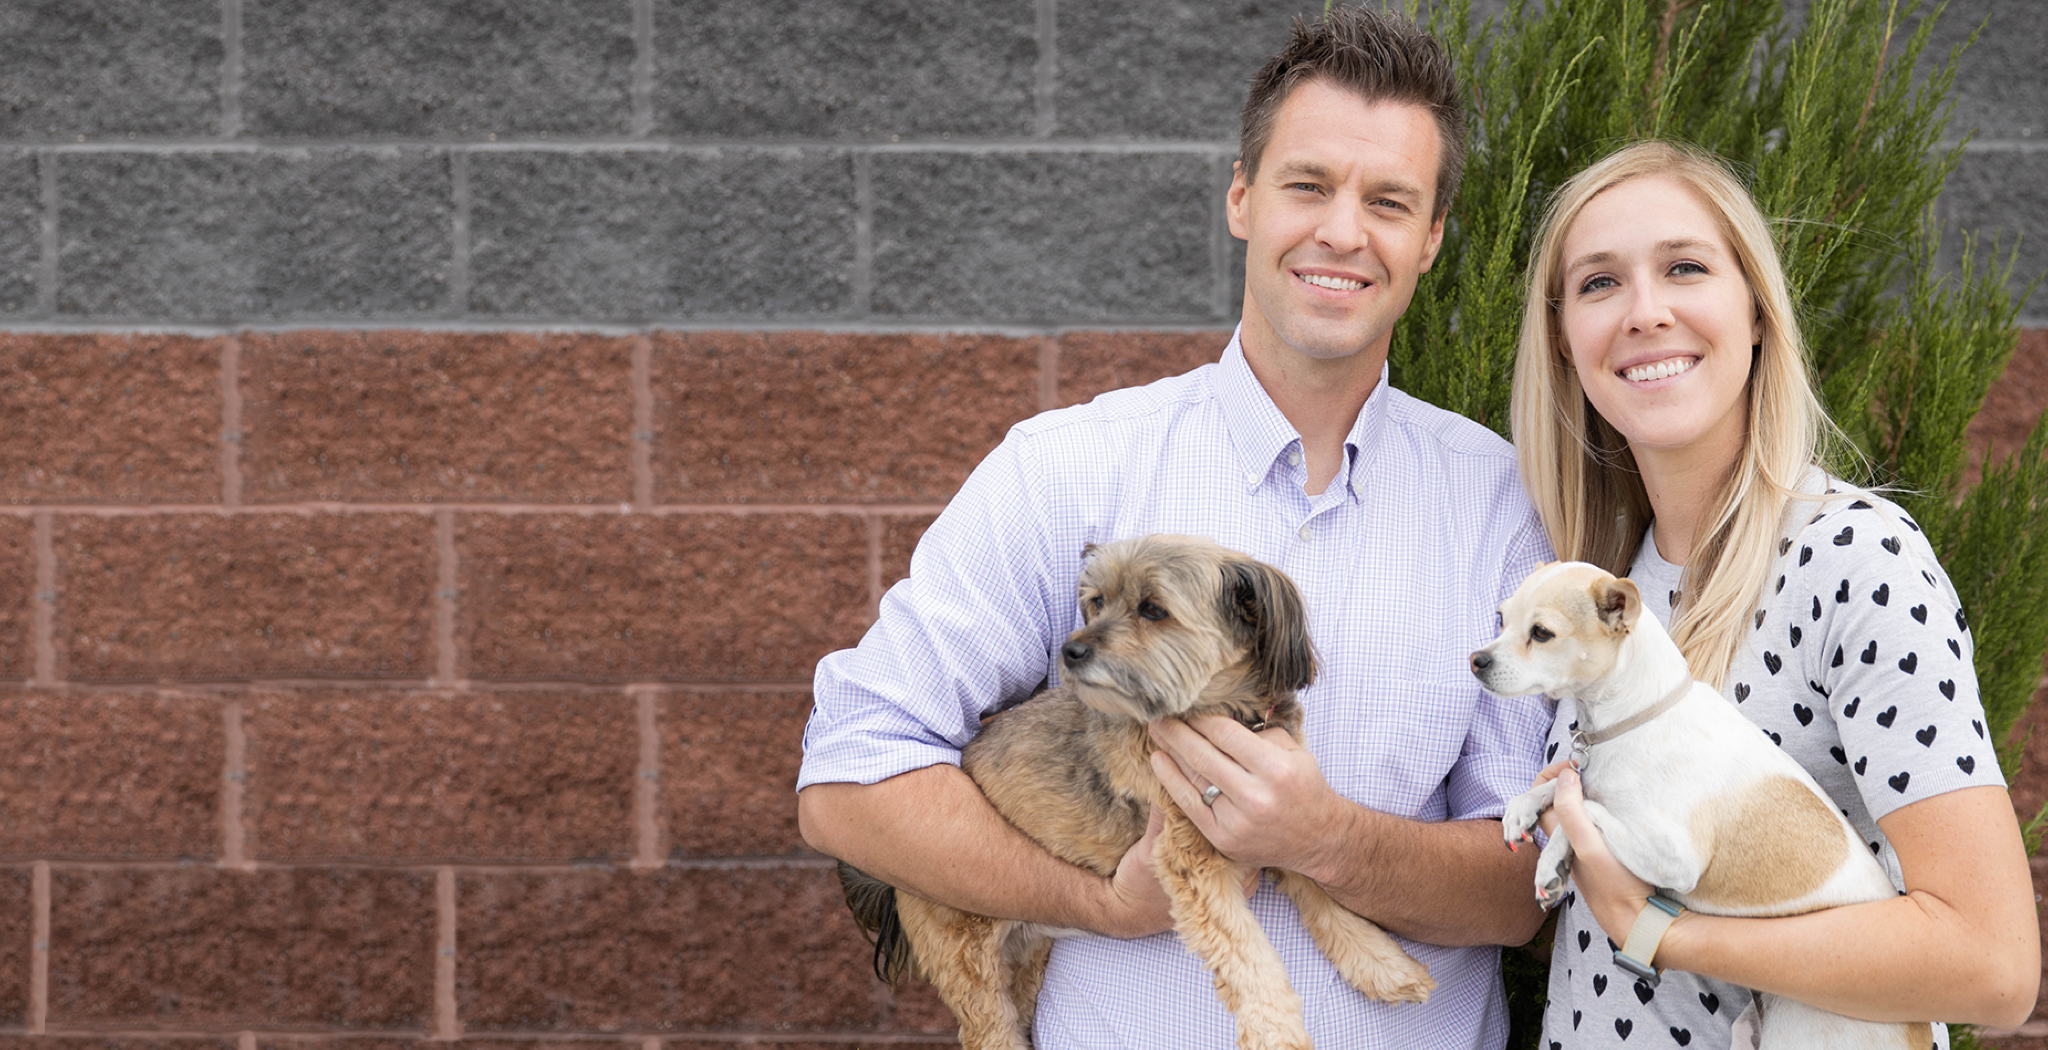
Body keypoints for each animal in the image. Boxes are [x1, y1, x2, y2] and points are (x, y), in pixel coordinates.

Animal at [839, 536, 1433, 1047]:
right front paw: (1277, 1034)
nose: (1071, 650)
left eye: (1152, 609)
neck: (1221, 713)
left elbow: (1327, 898)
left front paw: (1383, 964)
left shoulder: (1284, 823)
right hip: (968, 958)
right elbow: (1249, 958)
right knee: (989, 1032)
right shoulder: (1193, 861)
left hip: (1025, 961)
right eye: (1097, 602)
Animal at [1474, 560, 1916, 1047]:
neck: (1637, 717)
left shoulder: (1673, 857)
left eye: (1542, 633)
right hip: (1746, 1030)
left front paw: (1549, 862)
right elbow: (1571, 783)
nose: (1477, 660)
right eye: (1500, 619)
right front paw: (1525, 807)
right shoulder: (1589, 775)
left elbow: (1588, 810)